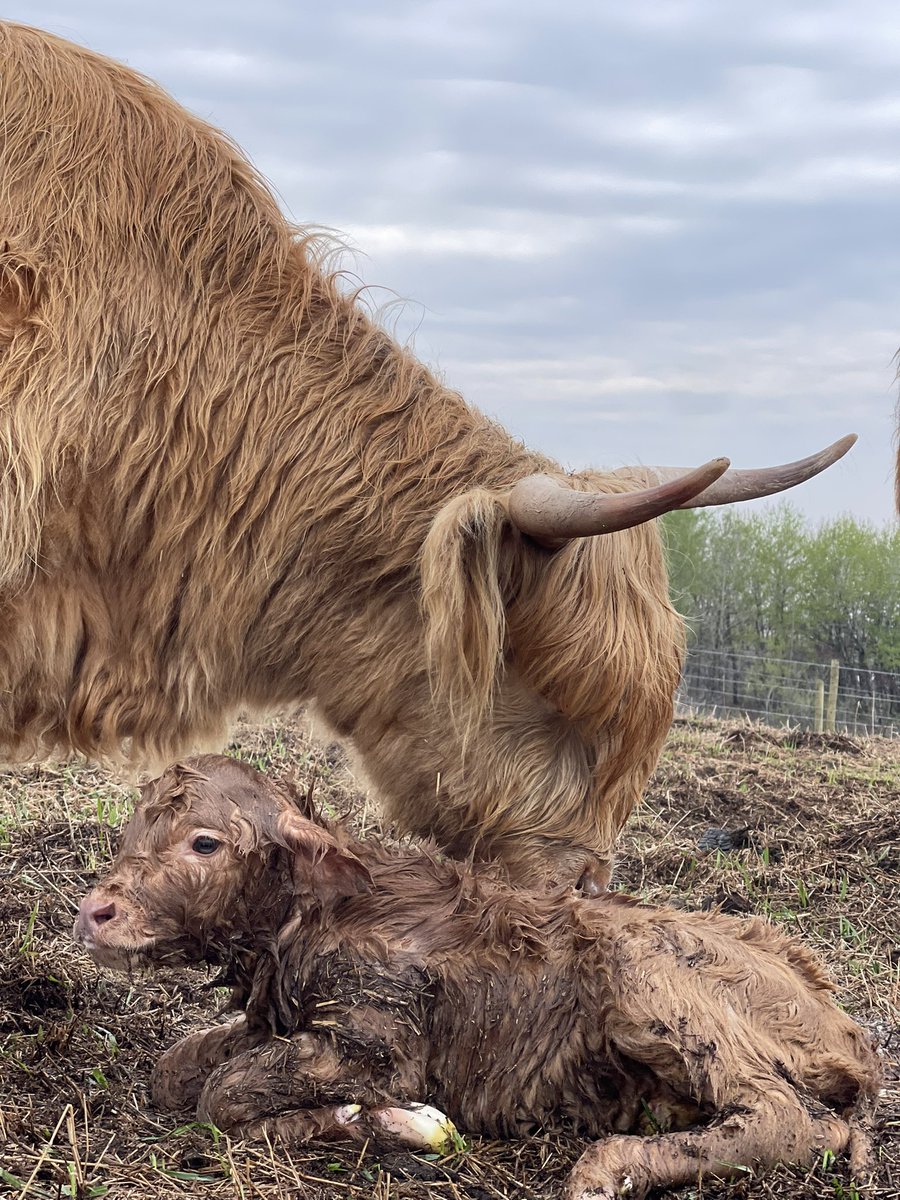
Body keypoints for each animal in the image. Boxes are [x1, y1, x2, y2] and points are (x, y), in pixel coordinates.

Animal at [75, 753, 883, 1195]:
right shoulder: (271, 1018)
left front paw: (390, 1120)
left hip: (652, 984)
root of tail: (848, 1033)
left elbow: (224, 1091)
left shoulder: (380, 1038)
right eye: (130, 832)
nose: (94, 912)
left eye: (205, 842)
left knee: (784, 1116)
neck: (312, 921)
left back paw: (606, 1170)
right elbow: (176, 1070)